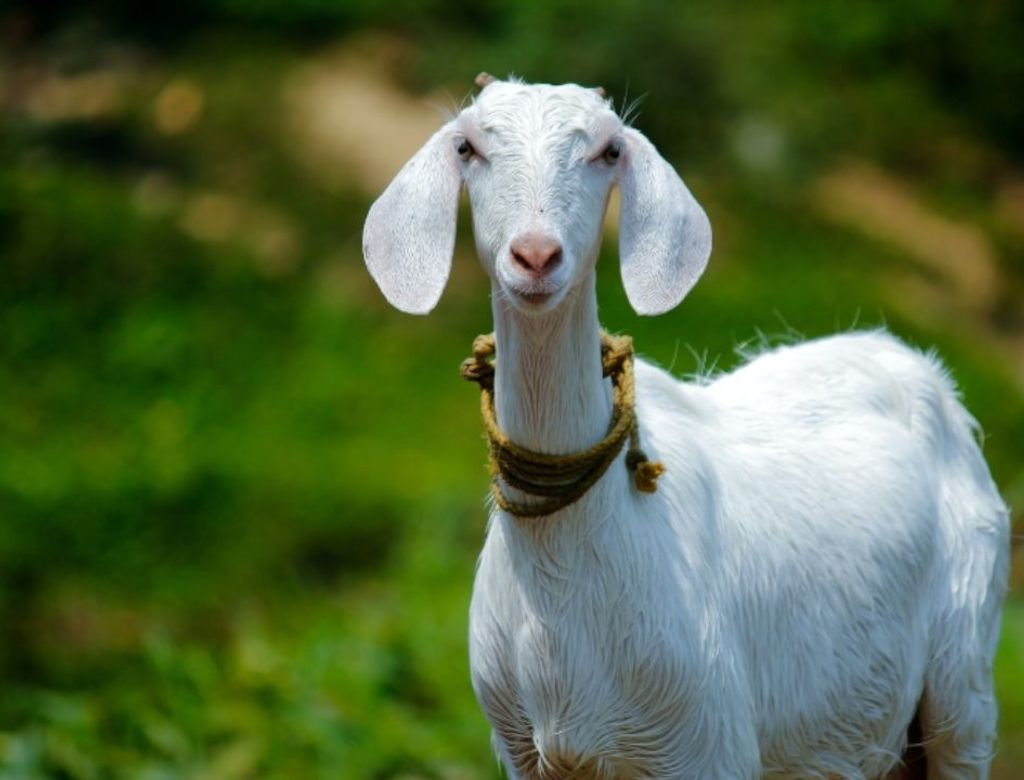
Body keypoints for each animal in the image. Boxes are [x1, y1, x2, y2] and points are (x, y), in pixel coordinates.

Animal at [362, 76, 1010, 779]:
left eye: (609, 150)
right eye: (468, 146)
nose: (535, 256)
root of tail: (917, 365)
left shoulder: (708, 743)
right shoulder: (521, 751)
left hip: (965, 679)